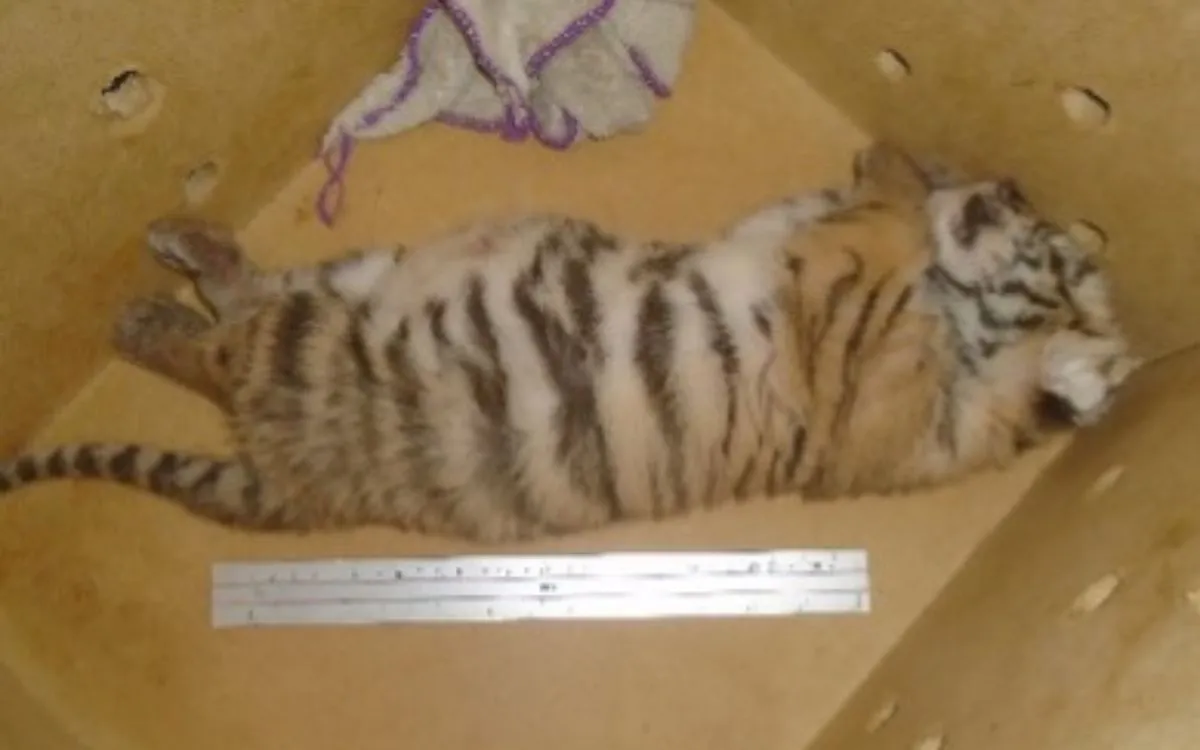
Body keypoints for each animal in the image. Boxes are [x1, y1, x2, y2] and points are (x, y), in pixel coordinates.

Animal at [0, 141, 1140, 542]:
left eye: (1046, 242)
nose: (1012, 185)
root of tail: (306, 483)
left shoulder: (857, 353)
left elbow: (881, 229)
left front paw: (906, 181)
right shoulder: (794, 240)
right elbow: (840, 209)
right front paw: (905, 160)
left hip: (320, 342)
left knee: (223, 344)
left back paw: (147, 315)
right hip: (361, 279)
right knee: (247, 299)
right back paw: (185, 243)